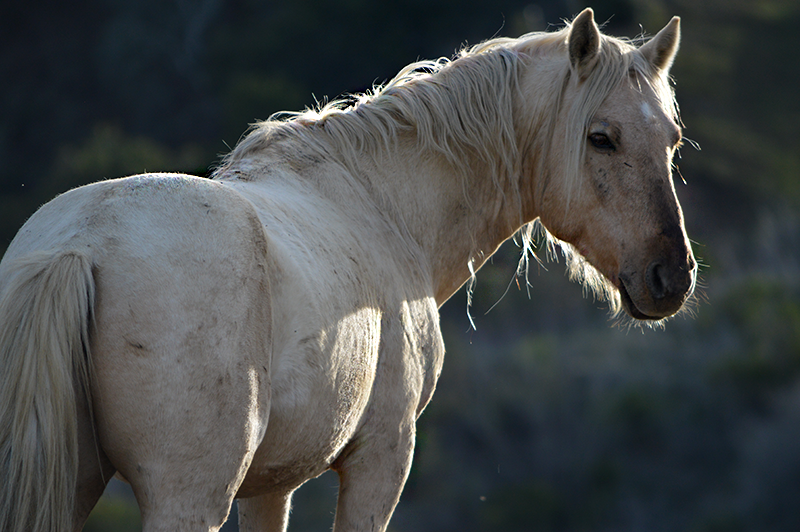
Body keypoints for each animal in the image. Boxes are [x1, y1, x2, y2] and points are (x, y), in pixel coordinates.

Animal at [0, 9, 692, 532]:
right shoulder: (381, 458)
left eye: (672, 141)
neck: (381, 205)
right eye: (601, 137)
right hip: (186, 499)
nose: (671, 277)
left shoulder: (268, 487)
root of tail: (79, 247)